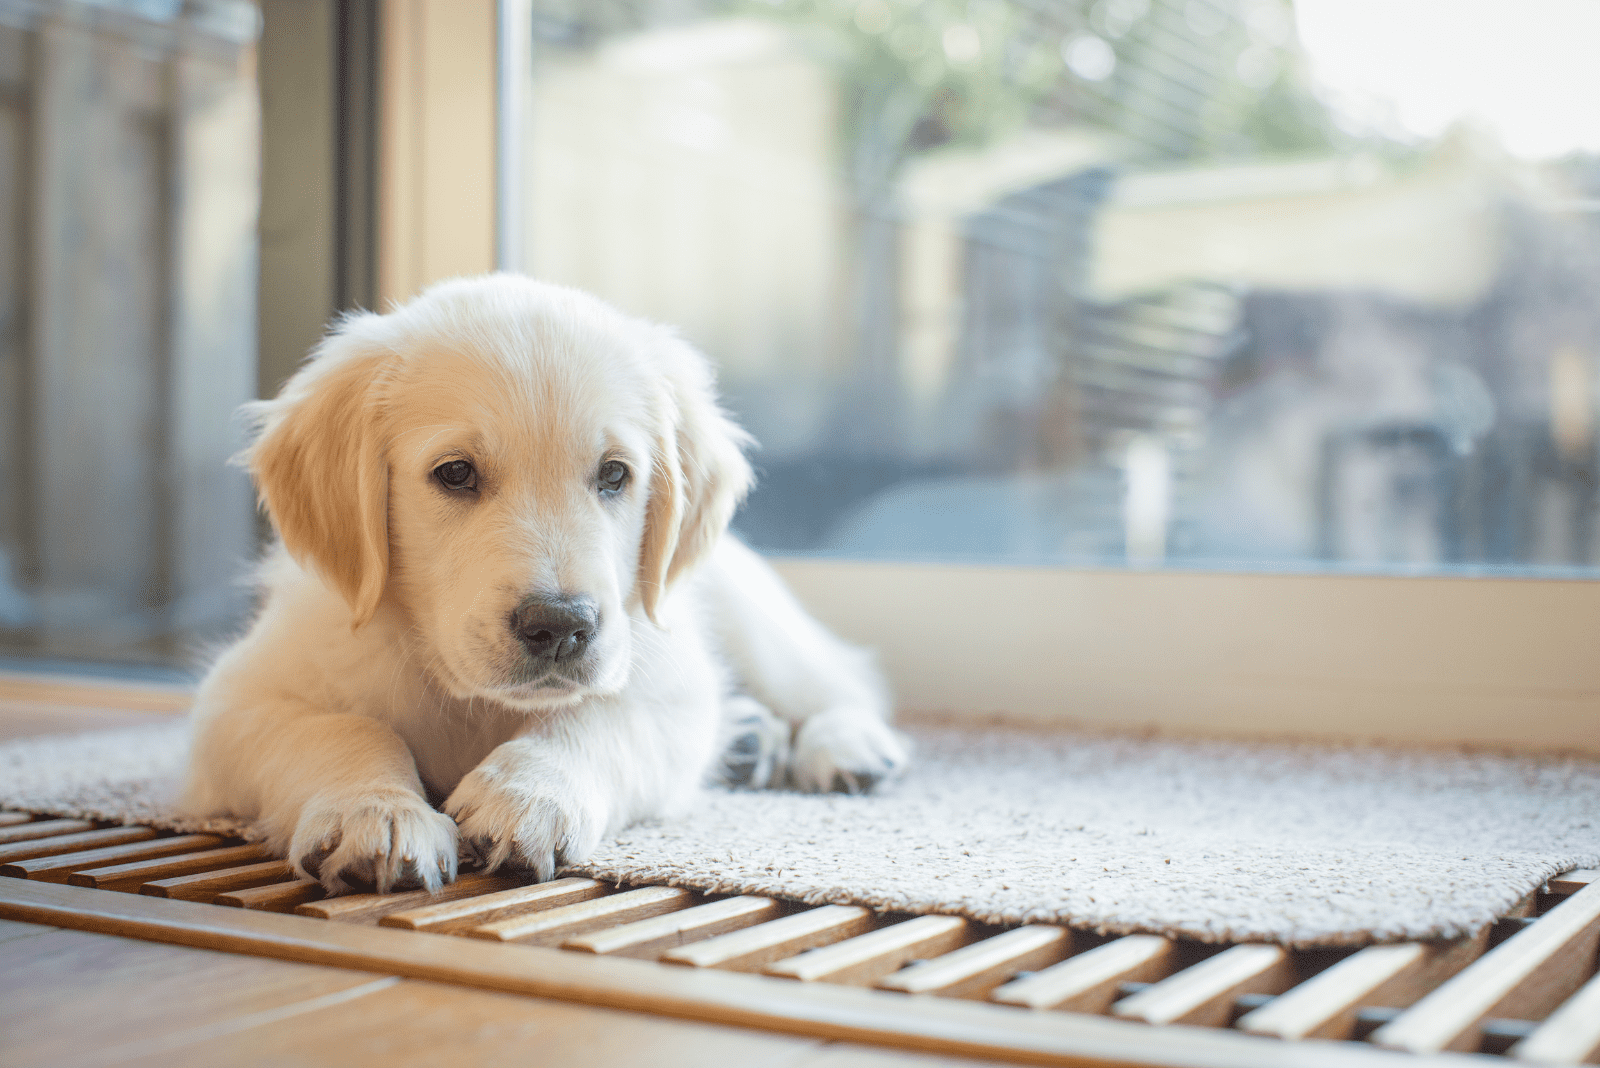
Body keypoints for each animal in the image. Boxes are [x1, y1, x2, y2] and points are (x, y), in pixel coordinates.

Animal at [181, 273, 908, 895]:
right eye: (455, 473)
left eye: (614, 474)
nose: (560, 626)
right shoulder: (237, 702)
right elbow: (342, 728)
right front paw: (375, 811)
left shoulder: (666, 689)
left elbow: (594, 718)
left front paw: (527, 796)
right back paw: (751, 740)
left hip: (754, 621)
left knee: (842, 681)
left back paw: (847, 745)